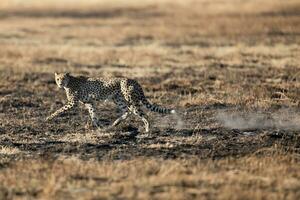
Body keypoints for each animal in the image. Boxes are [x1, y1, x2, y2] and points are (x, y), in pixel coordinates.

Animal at [47, 72, 176, 132]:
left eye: (63, 78)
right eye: (57, 79)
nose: (60, 83)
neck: (69, 82)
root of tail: (133, 80)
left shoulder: (72, 103)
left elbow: (59, 110)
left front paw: (48, 118)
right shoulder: (89, 103)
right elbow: (93, 115)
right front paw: (100, 128)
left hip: (130, 100)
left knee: (143, 114)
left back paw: (147, 130)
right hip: (118, 99)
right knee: (127, 112)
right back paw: (114, 124)